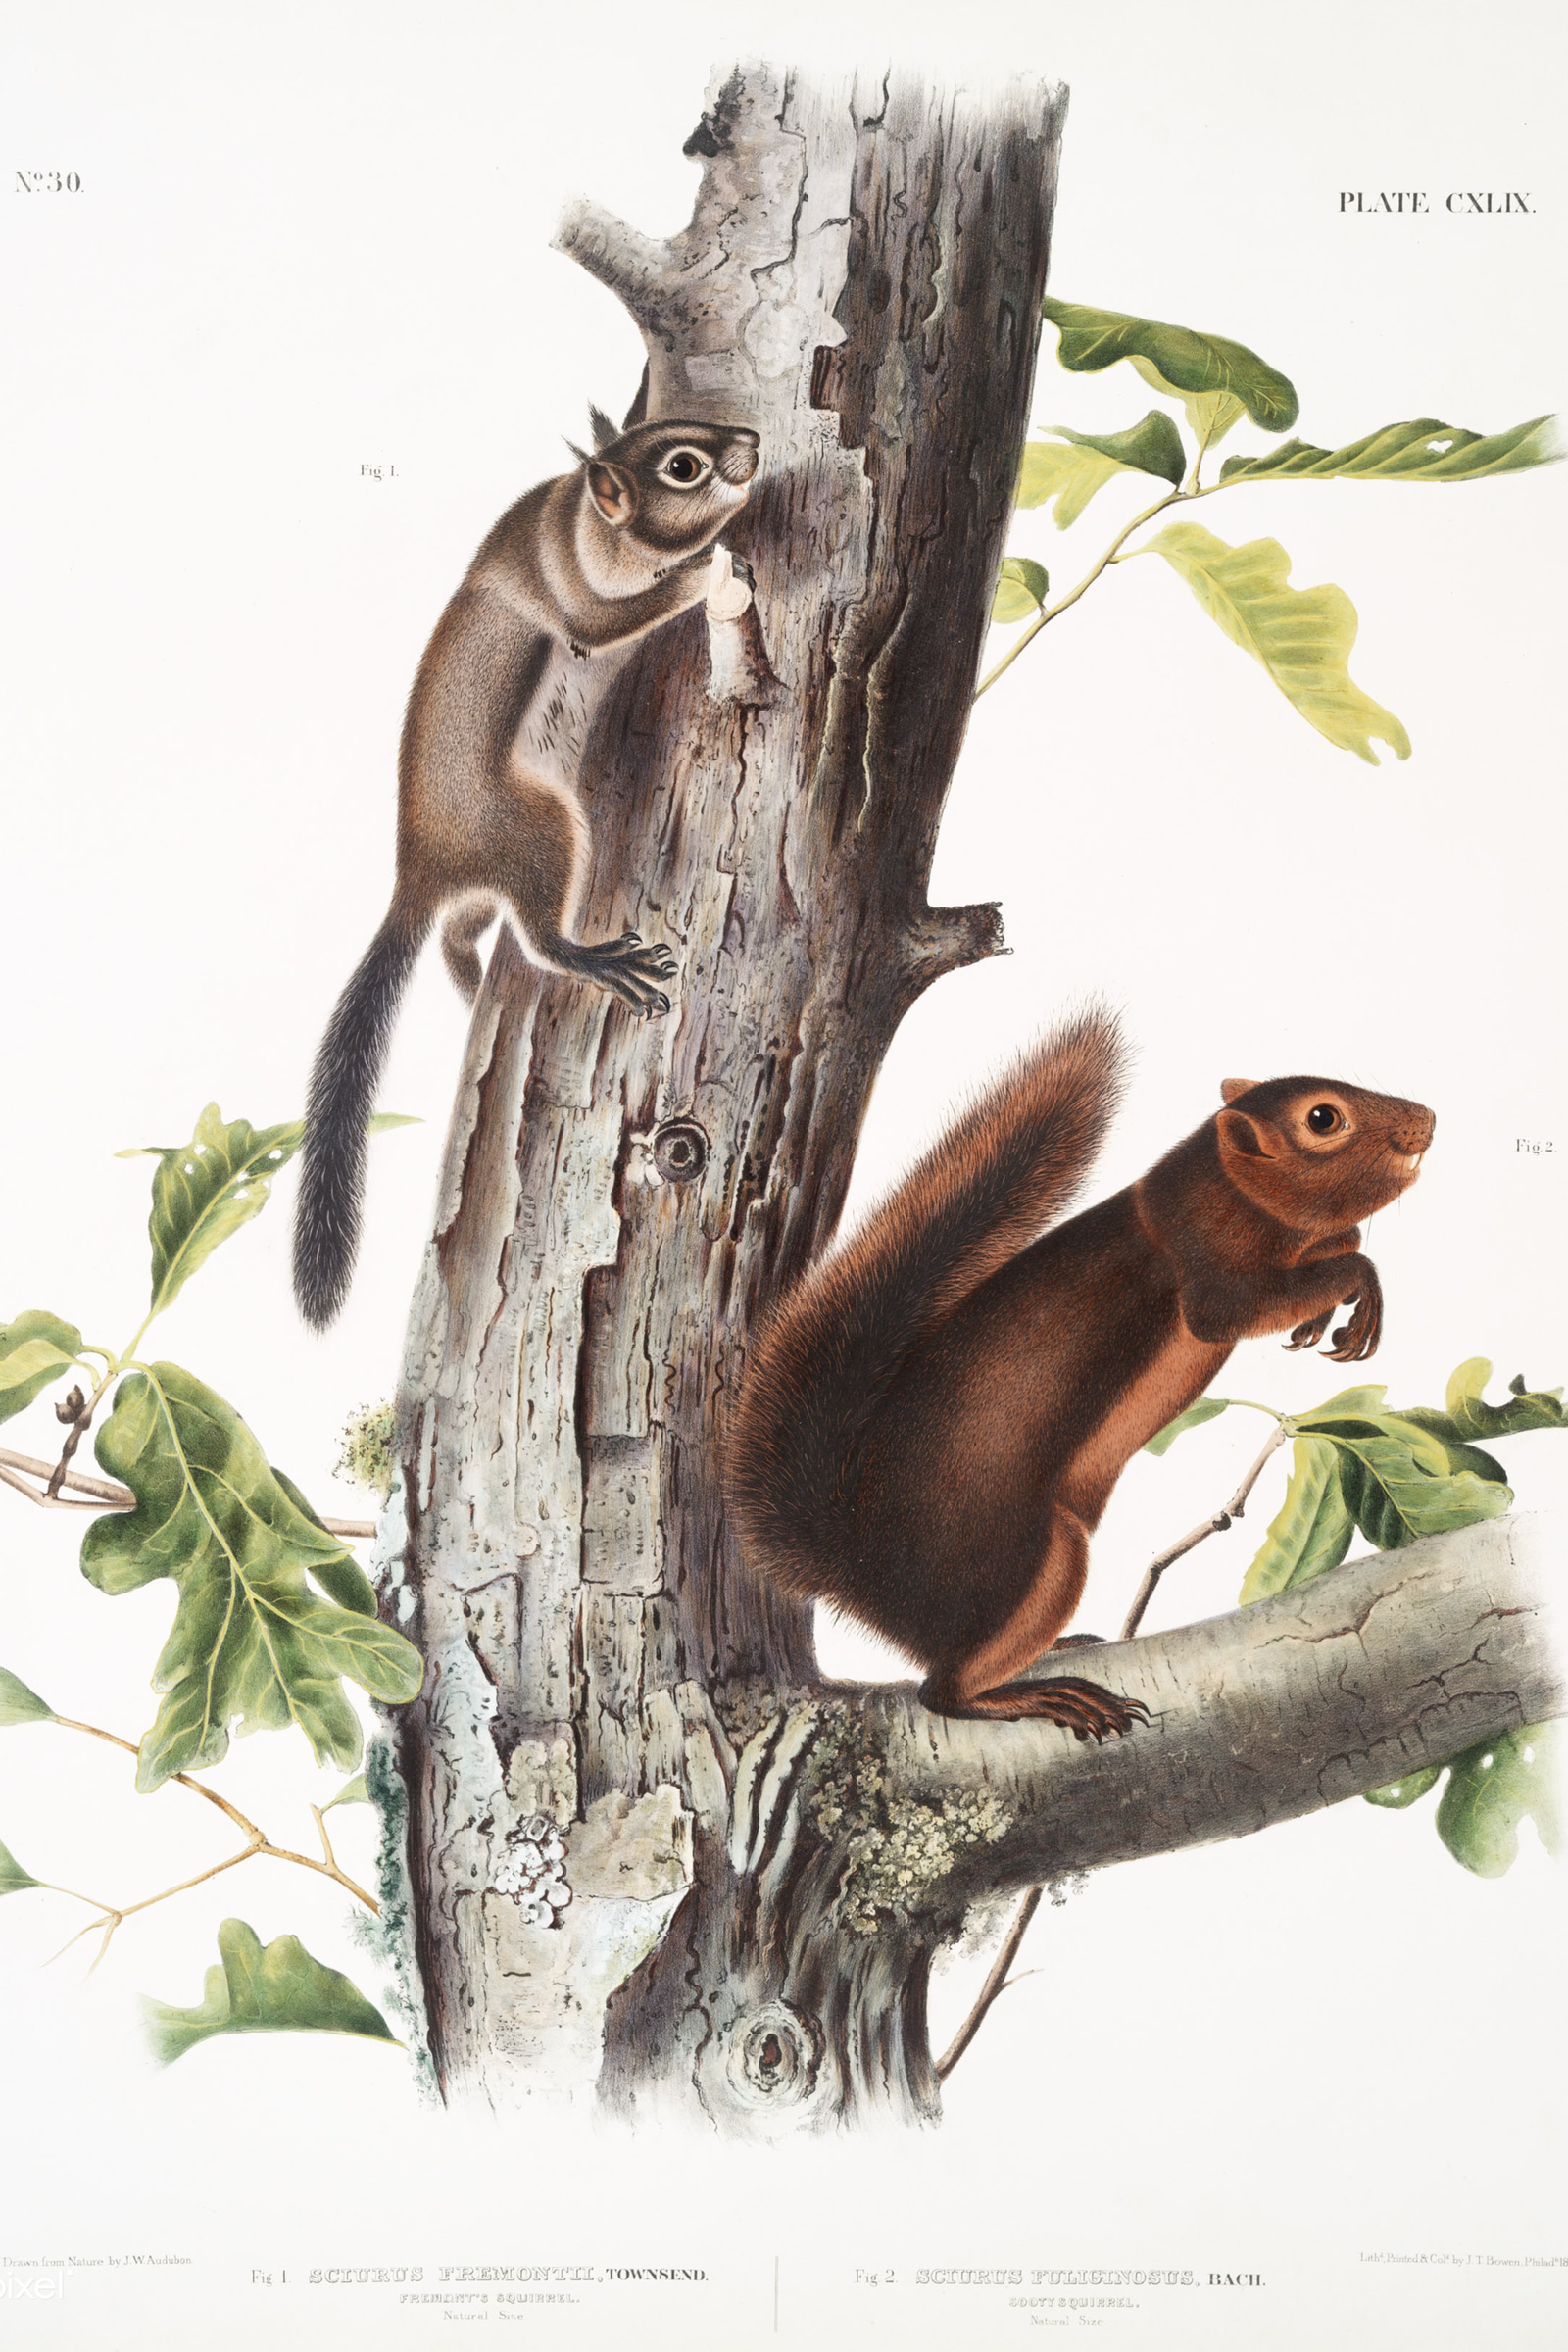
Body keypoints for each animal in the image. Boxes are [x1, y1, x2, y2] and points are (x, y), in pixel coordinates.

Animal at [292, 409, 761, 1329]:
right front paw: (709, 562)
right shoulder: (573, 593)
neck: (571, 519)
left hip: (494, 881)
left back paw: (474, 989)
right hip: (541, 829)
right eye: (682, 467)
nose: (754, 445)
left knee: (462, 938)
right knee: (539, 941)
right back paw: (593, 961)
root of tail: (422, 874)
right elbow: (616, 615)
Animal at [726, 1009, 1435, 1740]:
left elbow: (1336, 1246)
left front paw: (1326, 1309)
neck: (1218, 1188)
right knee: (940, 1690)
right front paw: (1355, 1288)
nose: (1429, 1118)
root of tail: (857, 1570)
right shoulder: (1208, 1270)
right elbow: (1249, 1303)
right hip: (1036, 1562)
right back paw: (1048, 1696)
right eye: (1323, 1119)